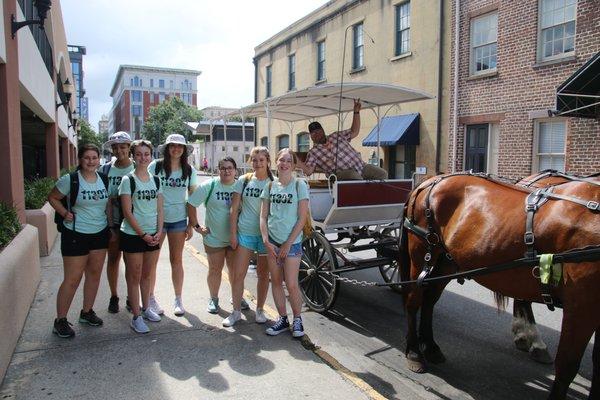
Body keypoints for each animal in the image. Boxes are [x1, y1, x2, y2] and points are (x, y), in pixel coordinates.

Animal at [400, 173, 596, 400]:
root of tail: (430, 180)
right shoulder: (581, 306)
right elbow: (567, 364)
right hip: (420, 253)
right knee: (414, 301)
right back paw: (414, 353)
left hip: (445, 262)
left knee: (429, 300)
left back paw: (430, 347)